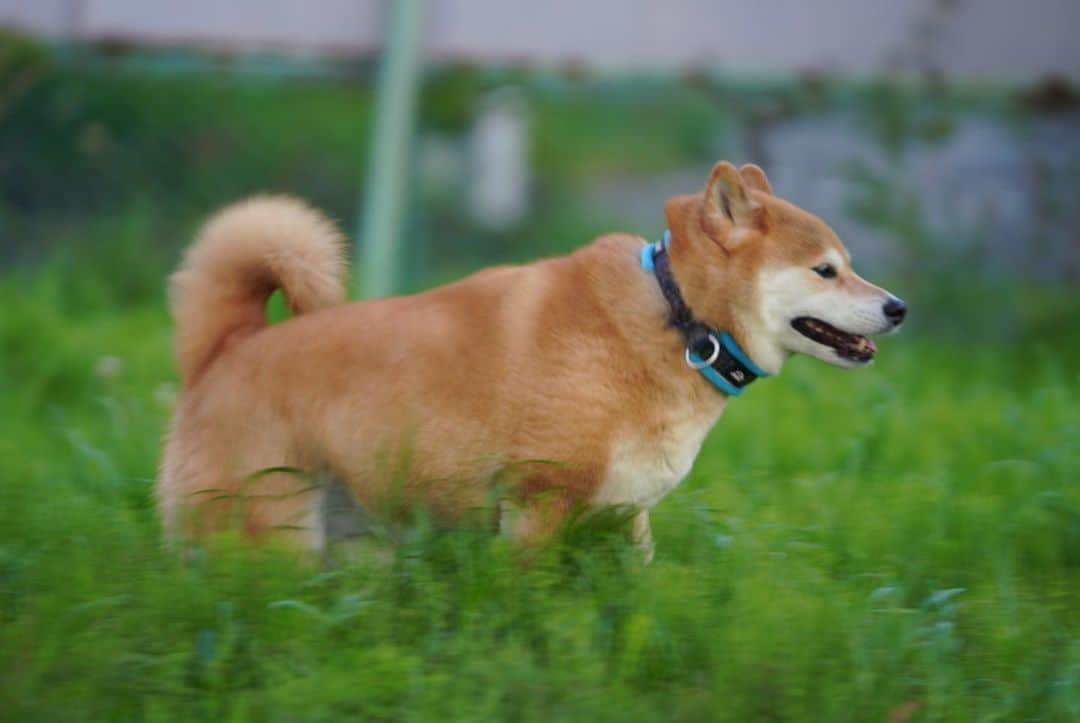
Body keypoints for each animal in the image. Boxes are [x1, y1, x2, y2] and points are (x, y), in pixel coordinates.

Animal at [157, 162, 902, 557]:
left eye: (850, 264)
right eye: (826, 270)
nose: (898, 306)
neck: (678, 321)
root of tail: (223, 350)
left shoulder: (624, 515)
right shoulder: (537, 505)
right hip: (273, 533)